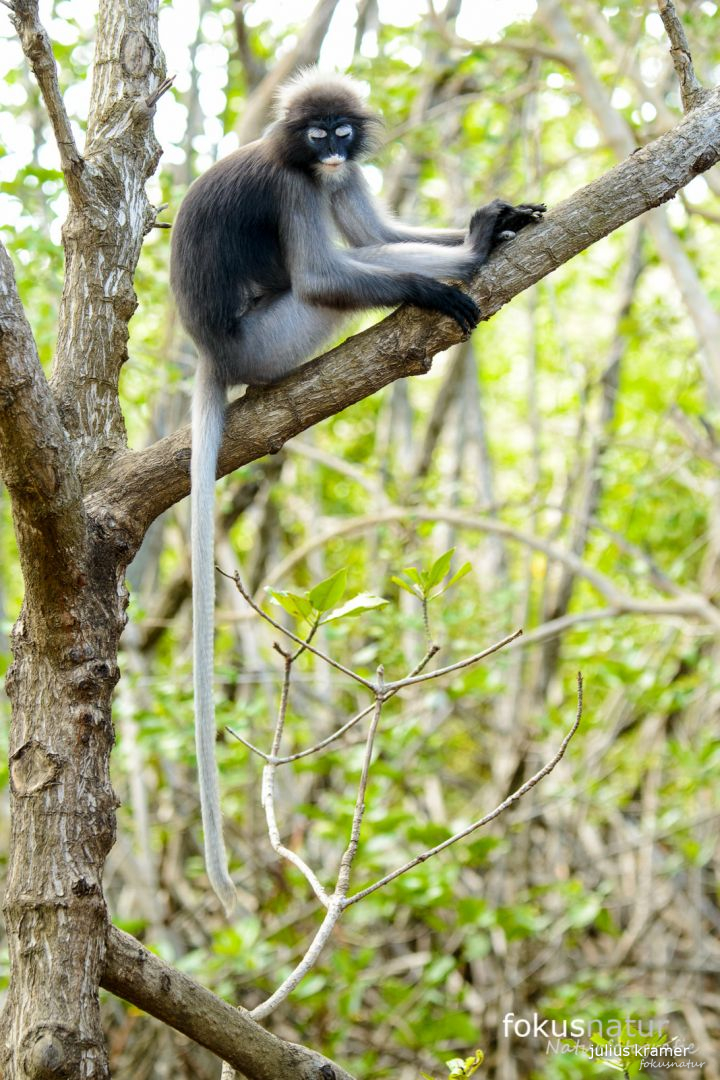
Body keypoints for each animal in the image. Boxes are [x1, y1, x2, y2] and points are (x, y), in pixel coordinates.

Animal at [169, 67, 544, 915]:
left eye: (343, 131)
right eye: (317, 134)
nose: (335, 151)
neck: (302, 161)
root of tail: (212, 351)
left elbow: (374, 237)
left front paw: (499, 223)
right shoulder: (292, 185)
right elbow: (328, 273)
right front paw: (457, 264)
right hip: (274, 338)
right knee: (318, 293)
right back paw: (452, 272)